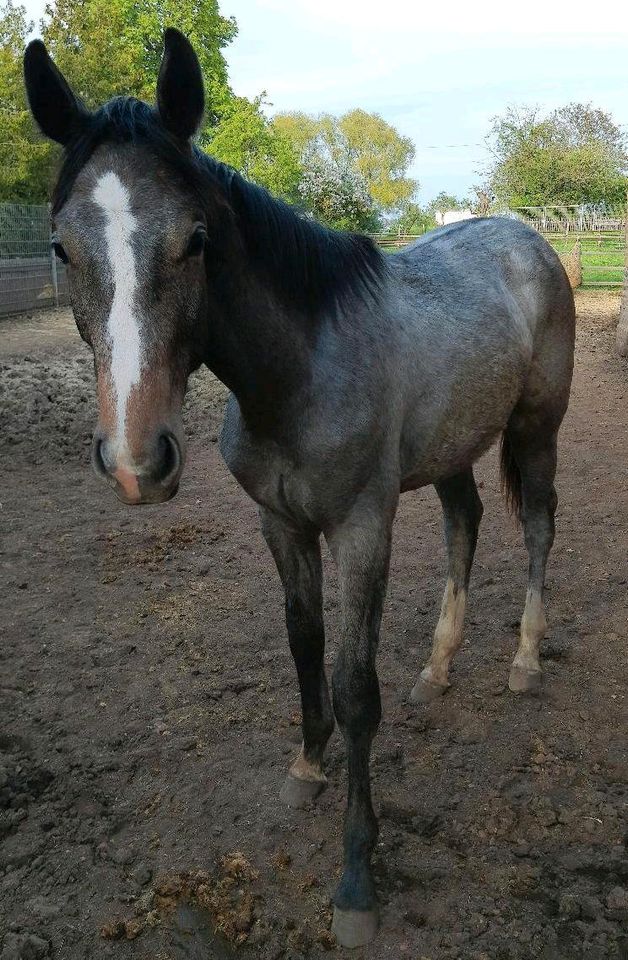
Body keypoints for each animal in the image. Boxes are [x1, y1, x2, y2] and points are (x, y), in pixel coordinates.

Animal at [24, 30, 576, 952]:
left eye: (197, 239)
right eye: (63, 247)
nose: (139, 461)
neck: (299, 372)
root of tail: (527, 238)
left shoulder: (361, 527)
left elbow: (355, 686)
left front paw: (356, 878)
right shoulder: (280, 524)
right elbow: (303, 645)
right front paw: (306, 766)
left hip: (536, 430)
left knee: (535, 529)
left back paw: (527, 662)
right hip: (454, 449)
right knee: (464, 526)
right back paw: (438, 668)